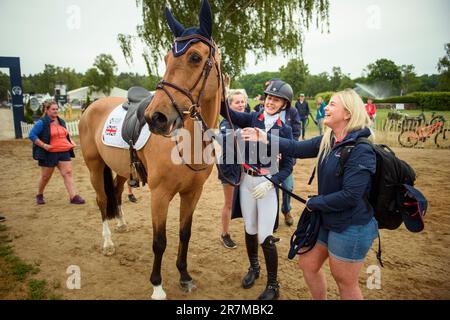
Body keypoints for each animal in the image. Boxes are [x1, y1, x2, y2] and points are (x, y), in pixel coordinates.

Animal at [79, 0, 225, 300]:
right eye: (167, 59)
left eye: (195, 57)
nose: (155, 118)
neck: (186, 142)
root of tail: (91, 106)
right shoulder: (160, 195)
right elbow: (159, 241)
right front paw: (157, 287)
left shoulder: (192, 193)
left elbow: (184, 234)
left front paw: (184, 276)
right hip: (94, 167)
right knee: (101, 200)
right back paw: (108, 243)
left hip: (122, 170)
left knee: (117, 193)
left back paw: (121, 224)